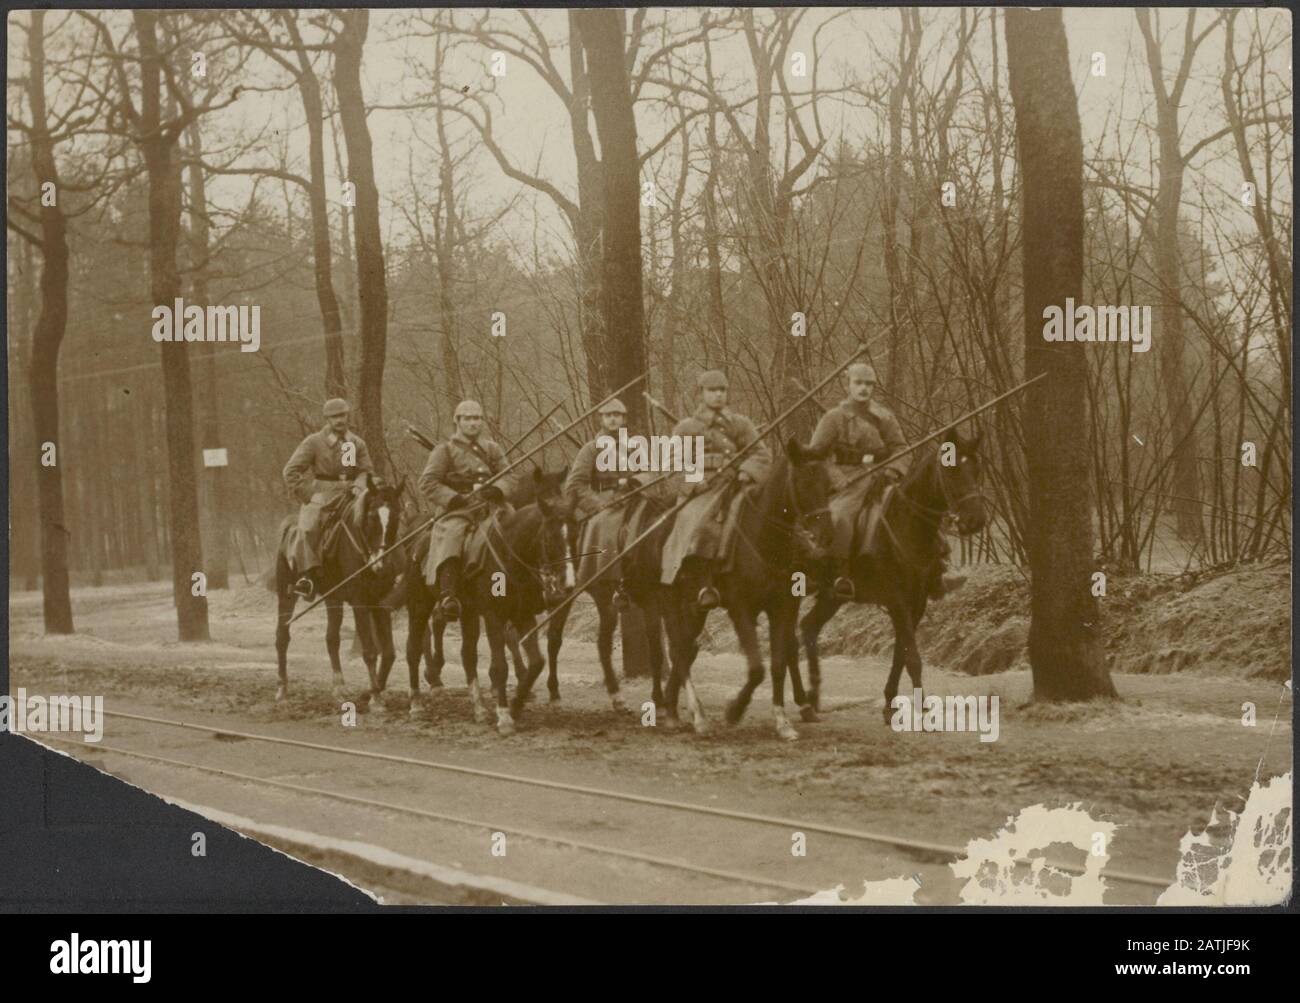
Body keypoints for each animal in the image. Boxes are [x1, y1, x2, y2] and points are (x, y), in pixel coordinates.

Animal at [278, 472, 405, 701]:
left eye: (396, 517)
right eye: (371, 516)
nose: (381, 563)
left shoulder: (380, 602)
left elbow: (389, 652)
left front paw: (372, 691)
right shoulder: (359, 602)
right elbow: (370, 652)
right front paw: (375, 699)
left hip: (333, 598)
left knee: (332, 638)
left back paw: (339, 686)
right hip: (286, 594)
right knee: (282, 637)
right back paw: (282, 688)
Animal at [400, 470, 574, 737]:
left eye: (573, 534)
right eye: (551, 538)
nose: (567, 586)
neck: (509, 551)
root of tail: (418, 541)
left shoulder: (523, 615)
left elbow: (536, 662)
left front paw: (516, 704)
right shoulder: (494, 616)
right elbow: (500, 666)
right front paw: (504, 717)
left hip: (468, 613)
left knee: (467, 655)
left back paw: (479, 709)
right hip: (418, 606)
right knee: (413, 649)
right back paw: (417, 704)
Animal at [626, 441, 832, 737]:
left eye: (828, 483)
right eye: (803, 482)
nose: (826, 534)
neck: (763, 538)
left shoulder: (783, 607)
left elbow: (778, 663)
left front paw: (783, 722)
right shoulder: (740, 608)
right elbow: (757, 668)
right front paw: (734, 710)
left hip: (694, 608)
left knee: (685, 648)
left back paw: (672, 708)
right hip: (665, 600)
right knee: (677, 649)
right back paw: (697, 716)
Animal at [795, 426, 987, 722]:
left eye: (977, 469)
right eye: (952, 470)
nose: (976, 520)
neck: (906, 524)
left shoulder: (916, 603)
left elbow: (901, 653)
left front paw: (889, 704)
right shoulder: (897, 602)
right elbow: (913, 657)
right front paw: (923, 710)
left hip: (831, 597)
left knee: (808, 628)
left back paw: (812, 699)